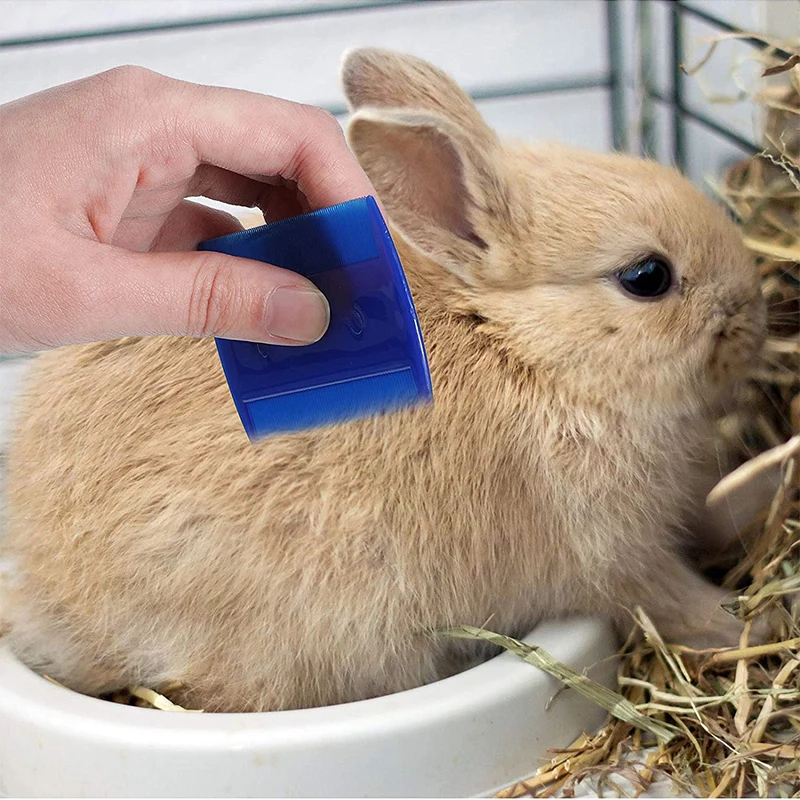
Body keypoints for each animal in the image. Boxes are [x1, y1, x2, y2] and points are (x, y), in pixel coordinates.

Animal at [0, 50, 768, 712]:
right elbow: (669, 598)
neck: (523, 346)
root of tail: (47, 596)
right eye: (647, 277)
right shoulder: (613, 552)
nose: (753, 310)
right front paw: (741, 627)